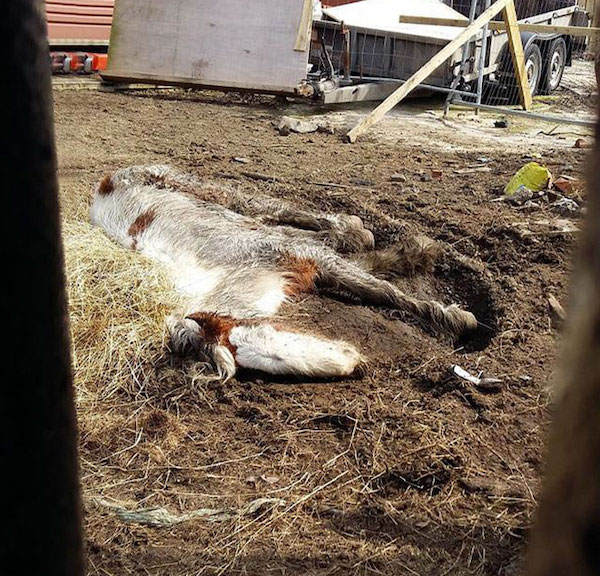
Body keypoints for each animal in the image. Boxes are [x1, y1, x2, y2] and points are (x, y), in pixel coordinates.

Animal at [90, 166, 478, 380]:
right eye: (270, 358)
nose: (353, 361)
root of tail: (104, 186)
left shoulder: (302, 254)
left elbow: (380, 289)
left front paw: (455, 316)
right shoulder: (305, 263)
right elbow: (367, 277)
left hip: (201, 189)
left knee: (270, 208)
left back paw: (368, 233)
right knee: (285, 221)